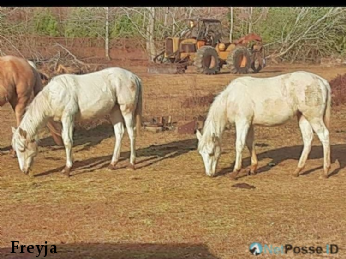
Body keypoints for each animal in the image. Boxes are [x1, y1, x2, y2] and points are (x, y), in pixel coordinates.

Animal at [11, 66, 142, 177]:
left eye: (22, 149)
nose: (24, 170)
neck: (53, 95)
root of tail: (134, 77)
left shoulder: (68, 117)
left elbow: (68, 141)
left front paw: (67, 169)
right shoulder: (63, 121)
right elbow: (65, 139)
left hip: (126, 110)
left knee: (131, 132)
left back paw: (131, 163)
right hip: (114, 110)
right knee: (119, 133)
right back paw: (112, 163)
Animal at [196, 72, 332, 180]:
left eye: (211, 153)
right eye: (201, 154)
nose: (209, 174)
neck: (231, 98)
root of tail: (322, 81)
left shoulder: (242, 122)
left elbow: (239, 144)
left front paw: (235, 172)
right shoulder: (249, 124)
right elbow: (250, 143)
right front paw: (253, 168)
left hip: (314, 117)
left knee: (324, 136)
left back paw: (325, 171)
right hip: (303, 117)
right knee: (308, 139)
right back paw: (298, 170)